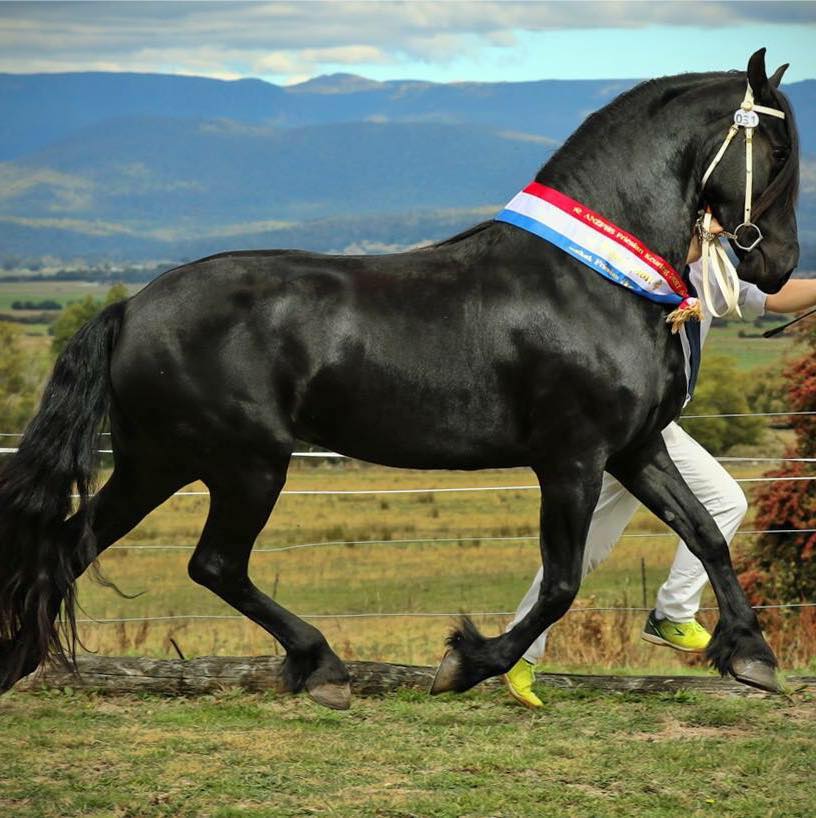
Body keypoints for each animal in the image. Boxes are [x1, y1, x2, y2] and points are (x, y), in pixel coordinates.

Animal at [0, 49, 796, 708]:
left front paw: (751, 657)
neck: (590, 280)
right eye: (780, 150)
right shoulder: (572, 459)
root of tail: (129, 307)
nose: (778, 266)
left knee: (73, 547)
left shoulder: (635, 448)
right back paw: (323, 667)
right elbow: (562, 581)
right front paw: (468, 662)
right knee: (214, 564)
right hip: (245, 464)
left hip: (158, 462)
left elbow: (705, 533)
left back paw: (19, 661)